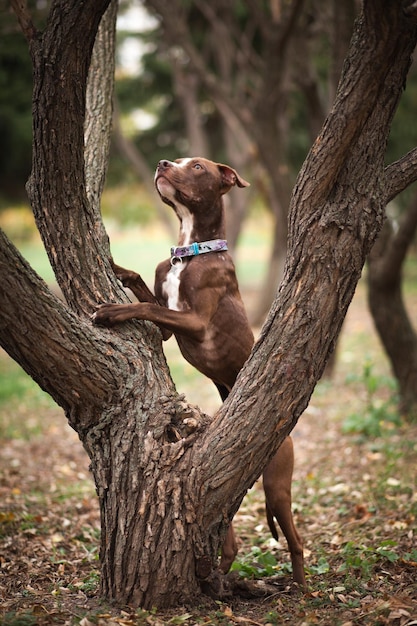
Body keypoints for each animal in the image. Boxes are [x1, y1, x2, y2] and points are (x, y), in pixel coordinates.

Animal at [92, 156, 304, 584]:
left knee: (296, 541)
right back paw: (215, 572)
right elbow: (144, 290)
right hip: (229, 490)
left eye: (198, 167)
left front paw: (110, 311)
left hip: (277, 487)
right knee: (230, 539)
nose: (162, 163)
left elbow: (146, 305)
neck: (191, 250)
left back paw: (303, 587)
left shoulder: (195, 322)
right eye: (179, 160)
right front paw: (117, 268)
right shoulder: (168, 327)